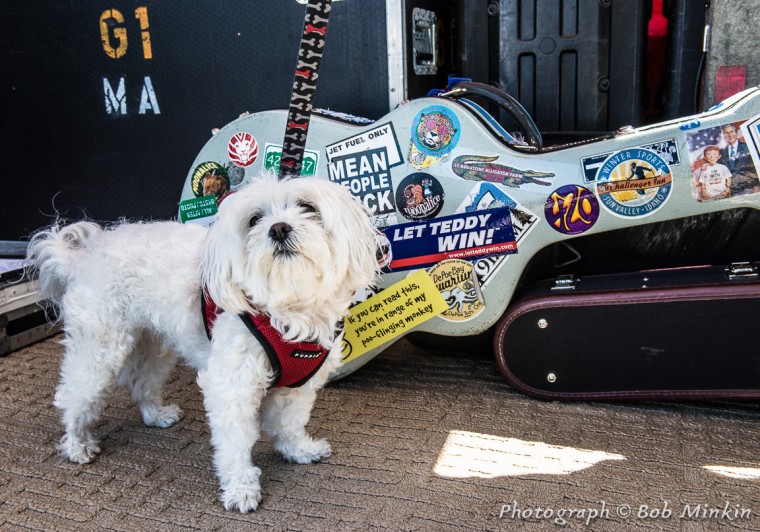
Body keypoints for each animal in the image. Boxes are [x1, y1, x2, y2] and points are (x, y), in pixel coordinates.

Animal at [28, 177, 380, 512]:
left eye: (308, 207)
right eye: (255, 219)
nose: (279, 228)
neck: (287, 308)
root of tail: (83, 255)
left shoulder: (298, 386)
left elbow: (289, 422)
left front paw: (298, 450)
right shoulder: (231, 385)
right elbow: (235, 443)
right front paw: (240, 488)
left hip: (154, 343)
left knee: (140, 380)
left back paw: (155, 414)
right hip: (99, 347)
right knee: (74, 393)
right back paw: (76, 443)